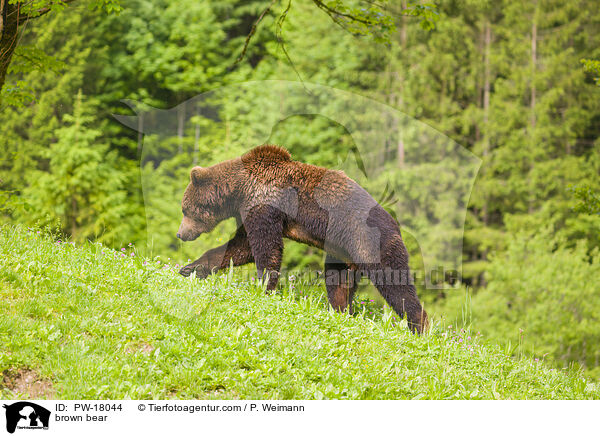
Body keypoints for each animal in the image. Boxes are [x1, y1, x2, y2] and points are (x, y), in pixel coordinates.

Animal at [176, 146, 428, 334]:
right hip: (341, 252)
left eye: (185, 209)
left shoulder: (265, 204)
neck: (240, 191)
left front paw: (264, 287)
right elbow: (239, 247)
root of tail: (396, 226)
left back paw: (419, 326)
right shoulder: (249, 210)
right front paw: (191, 268)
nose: (180, 233)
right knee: (338, 282)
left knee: (395, 283)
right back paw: (340, 311)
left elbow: (266, 248)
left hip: (370, 242)